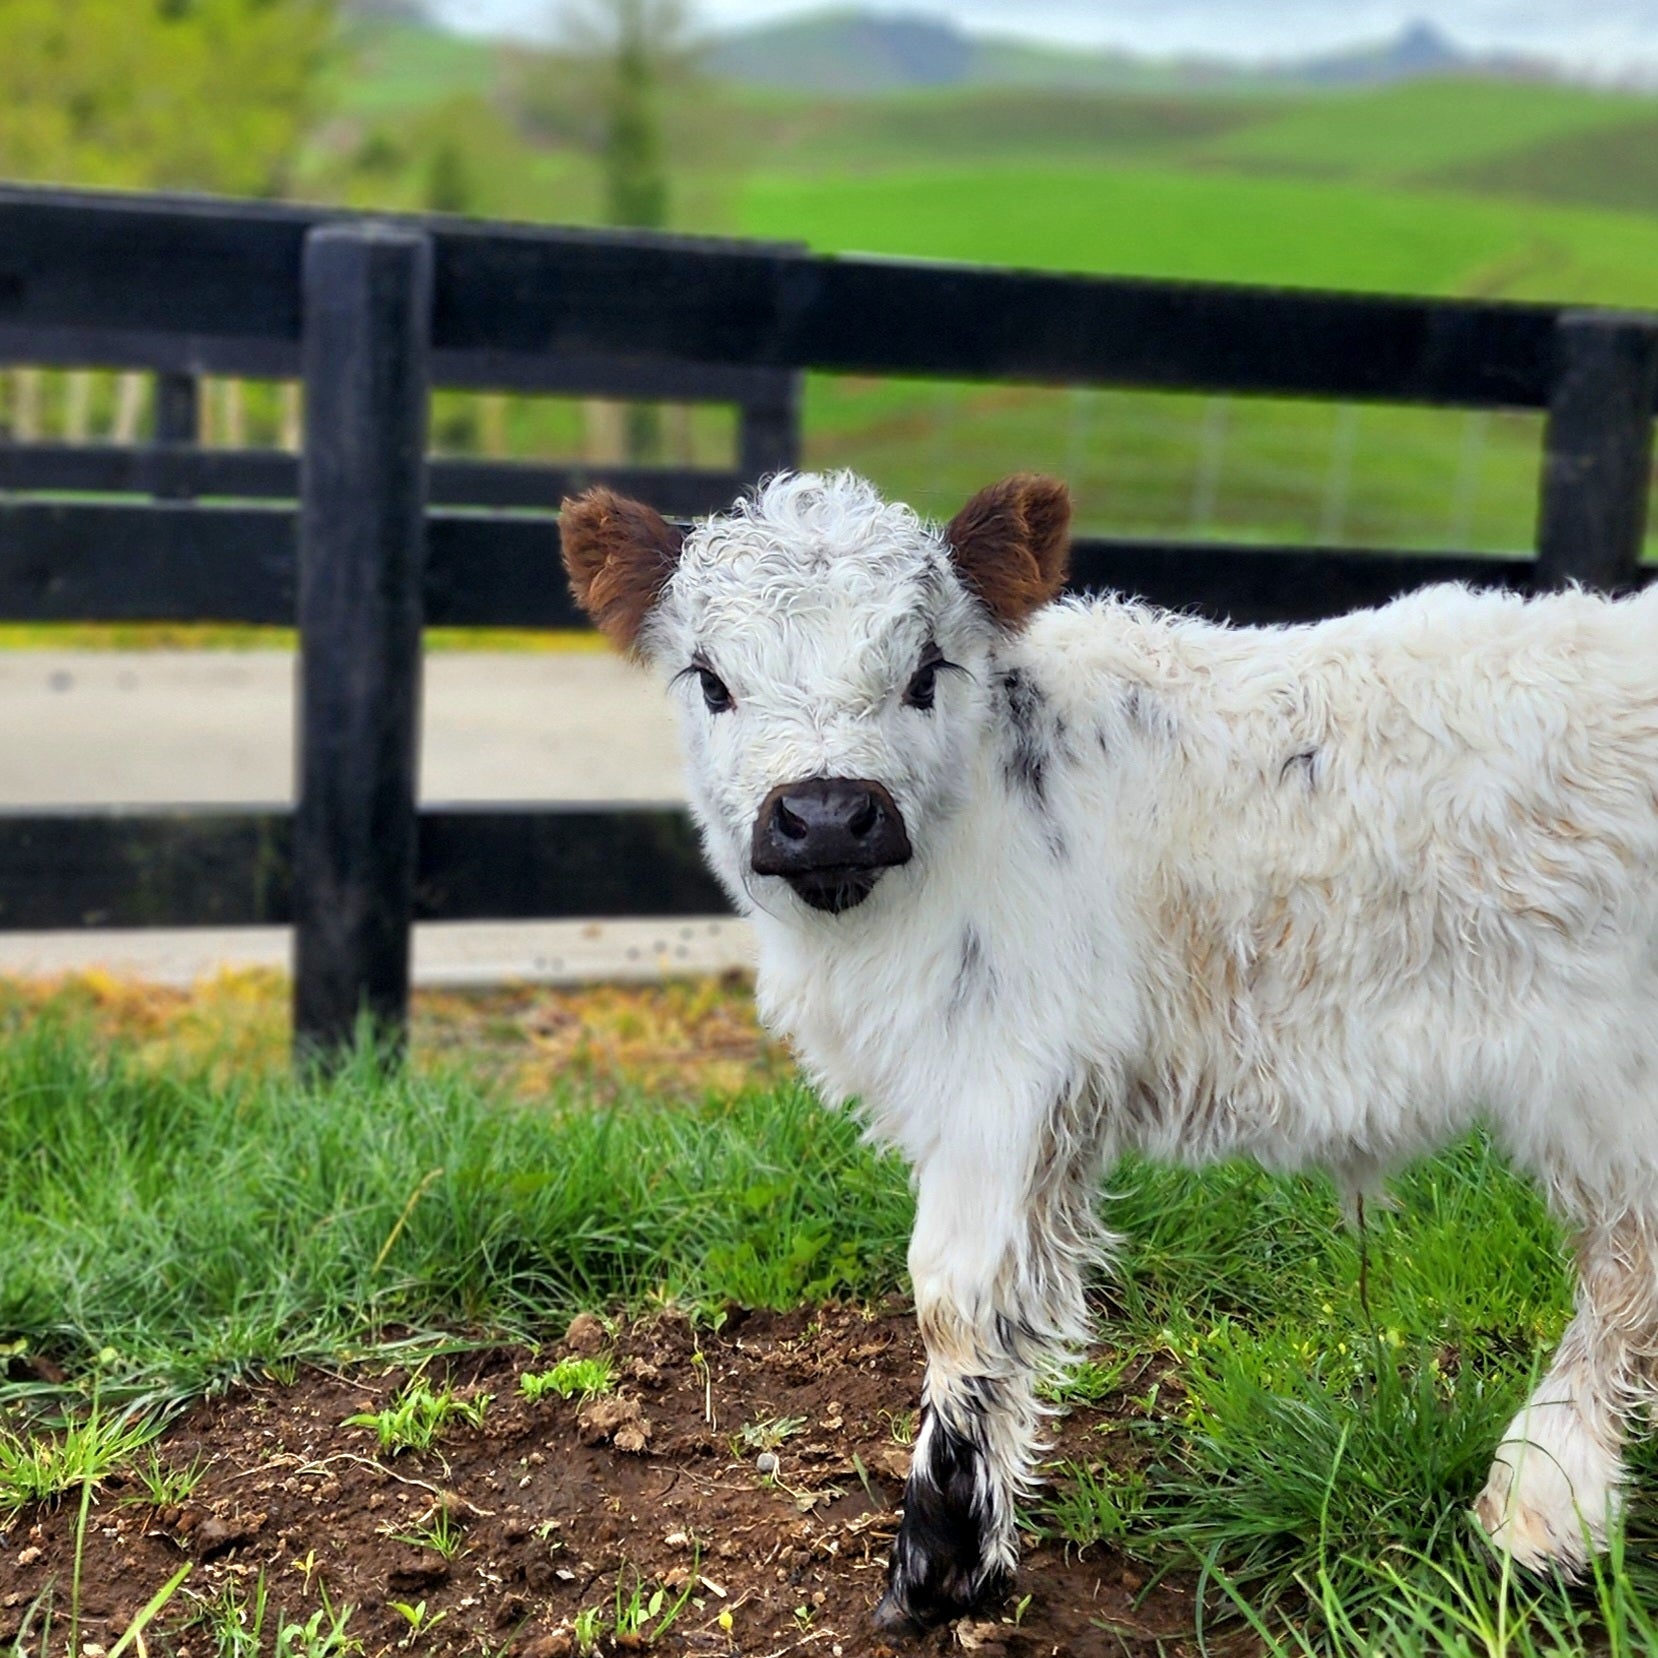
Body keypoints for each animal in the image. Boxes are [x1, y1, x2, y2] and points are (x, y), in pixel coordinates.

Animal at [563, 474, 1658, 1638]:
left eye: (924, 671)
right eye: (711, 680)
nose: (823, 814)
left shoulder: (1000, 1078)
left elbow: (955, 1303)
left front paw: (935, 1570)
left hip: (1604, 1078)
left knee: (1622, 1274)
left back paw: (1538, 1507)